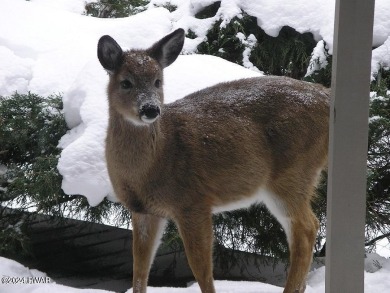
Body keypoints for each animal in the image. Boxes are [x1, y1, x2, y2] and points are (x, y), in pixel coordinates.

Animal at [96, 28, 330, 292]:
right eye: (126, 82)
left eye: (158, 81)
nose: (150, 109)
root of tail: (327, 97)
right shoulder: (143, 210)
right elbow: (140, 268)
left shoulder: (193, 201)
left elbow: (201, 269)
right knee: (308, 227)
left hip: (292, 174)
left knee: (306, 228)